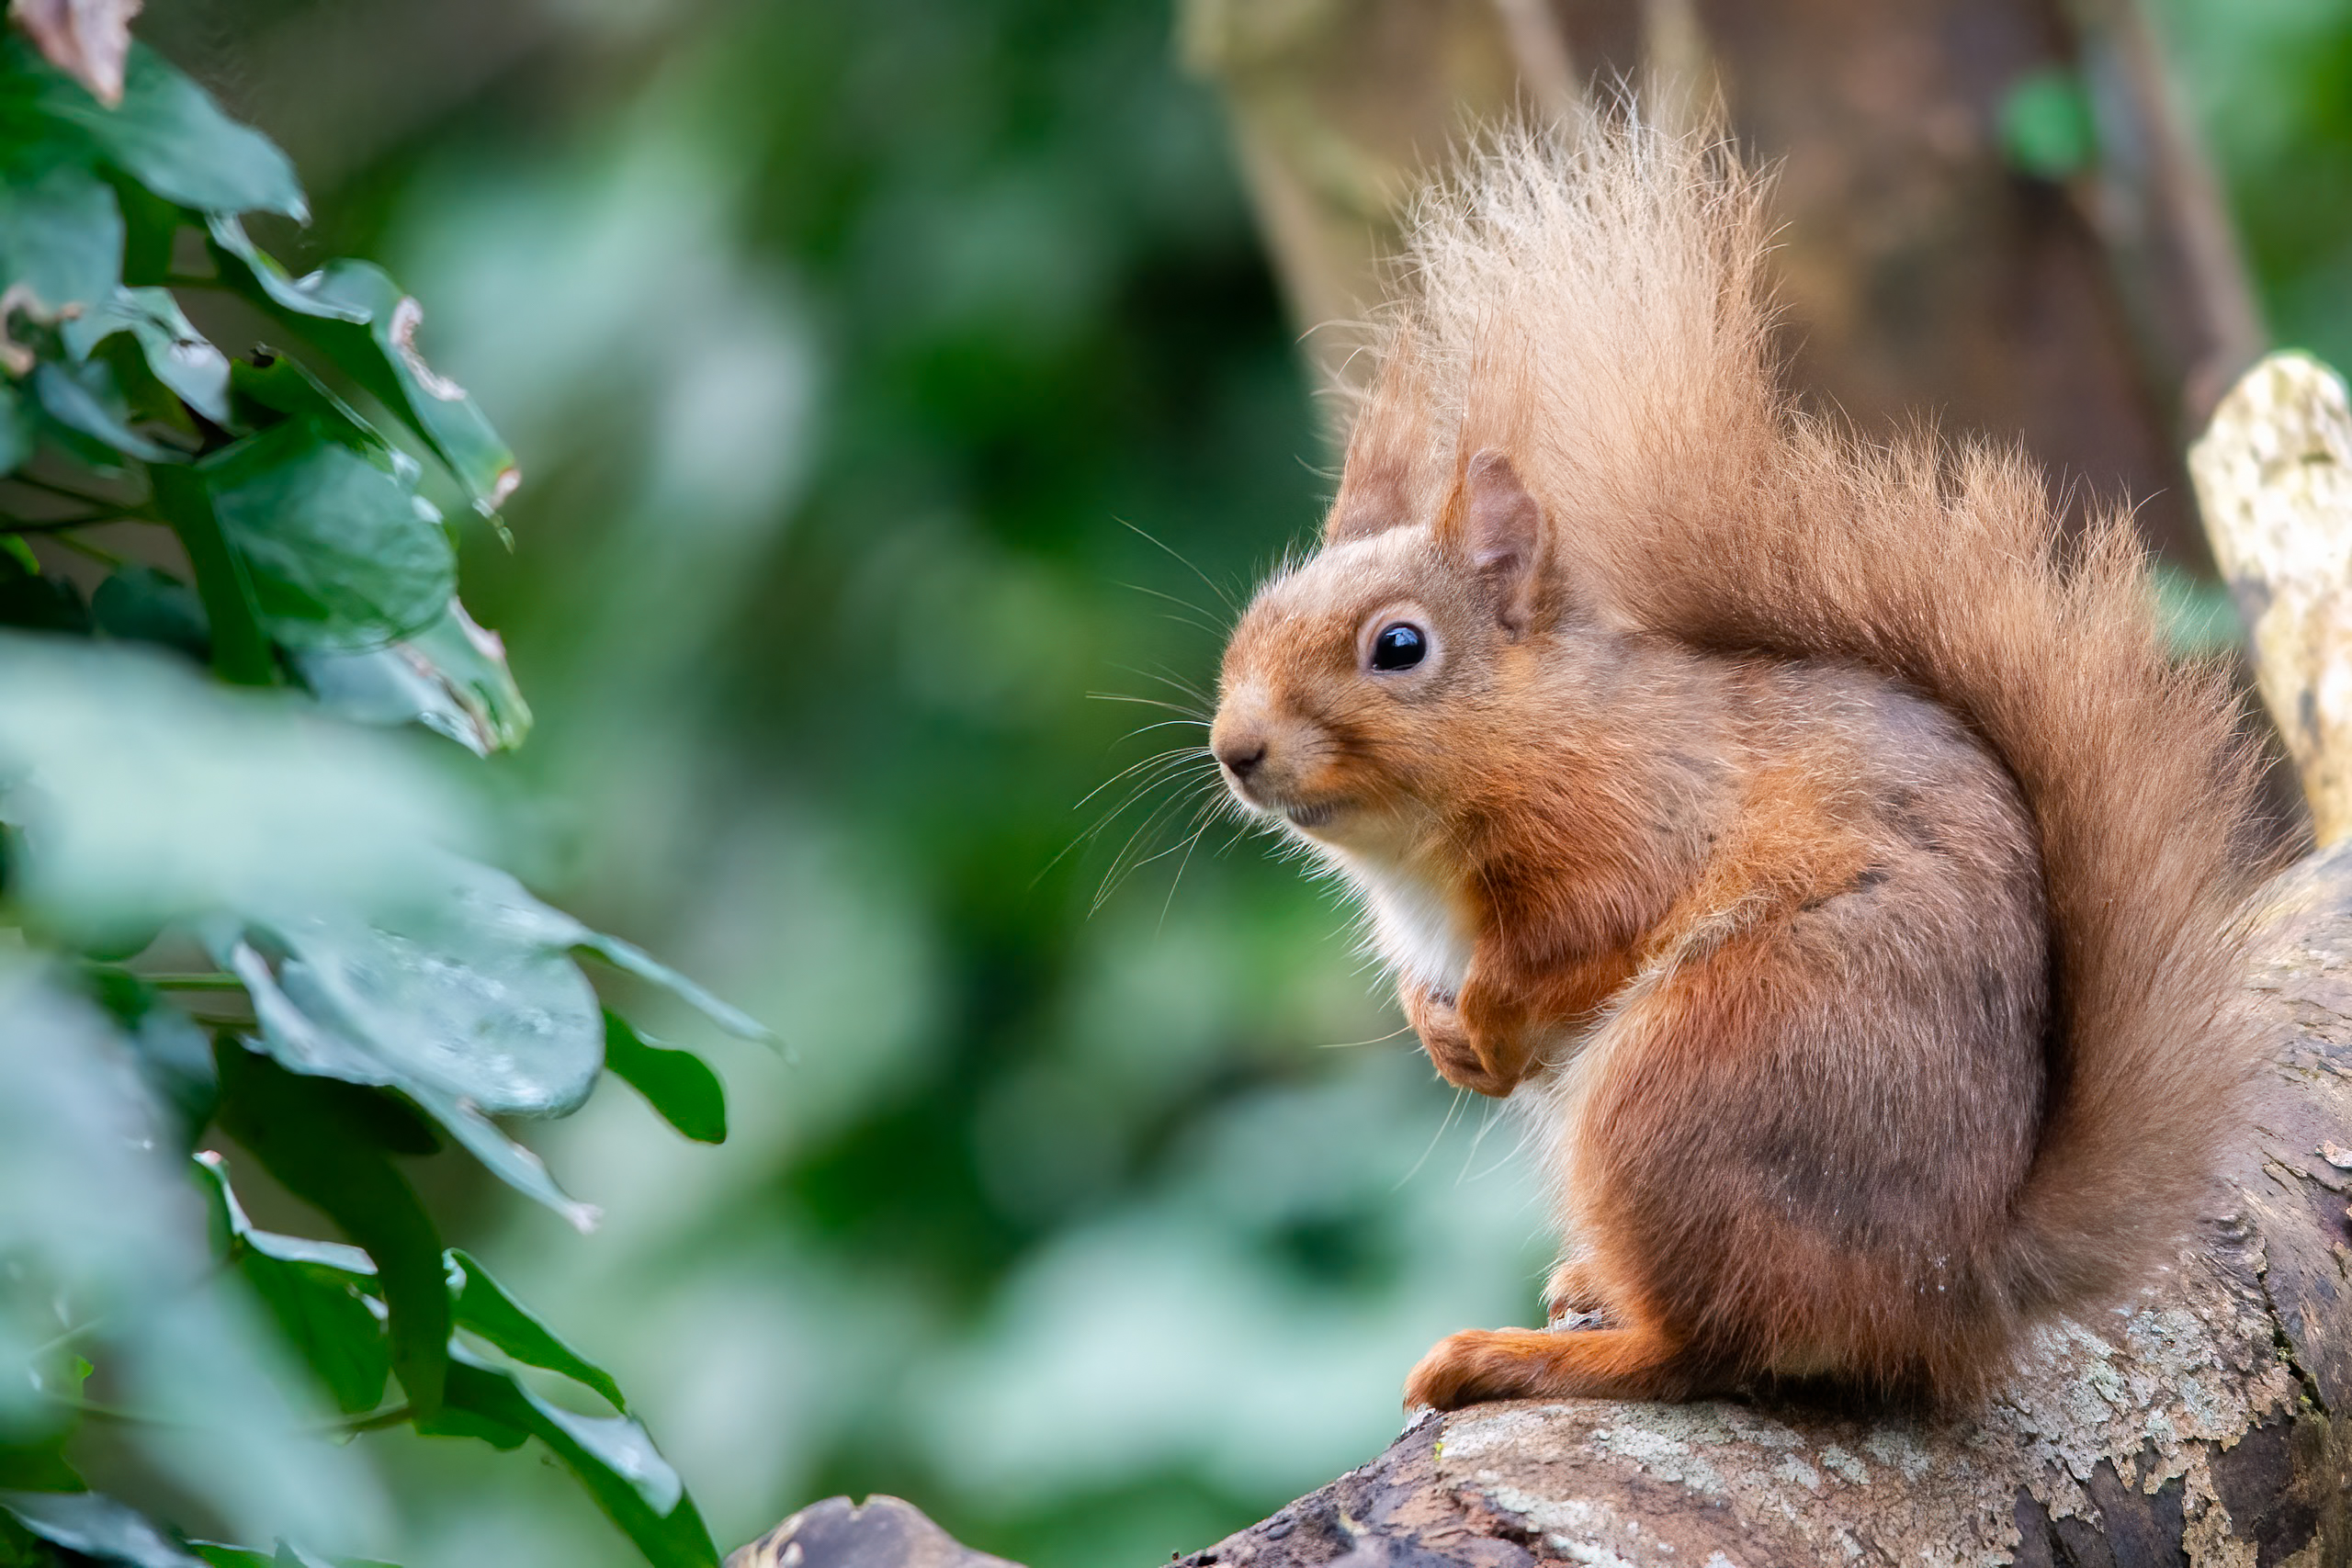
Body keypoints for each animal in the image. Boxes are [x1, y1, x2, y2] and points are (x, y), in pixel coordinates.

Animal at [1207, 112, 2269, 1410]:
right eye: (1254, 617)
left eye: (1398, 648)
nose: (1236, 750)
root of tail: (1947, 1289)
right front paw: (1445, 1038)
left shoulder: (1633, 818)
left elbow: (1578, 935)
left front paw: (1493, 1026)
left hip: (1695, 1078)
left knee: (1704, 1346)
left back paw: (1519, 1356)